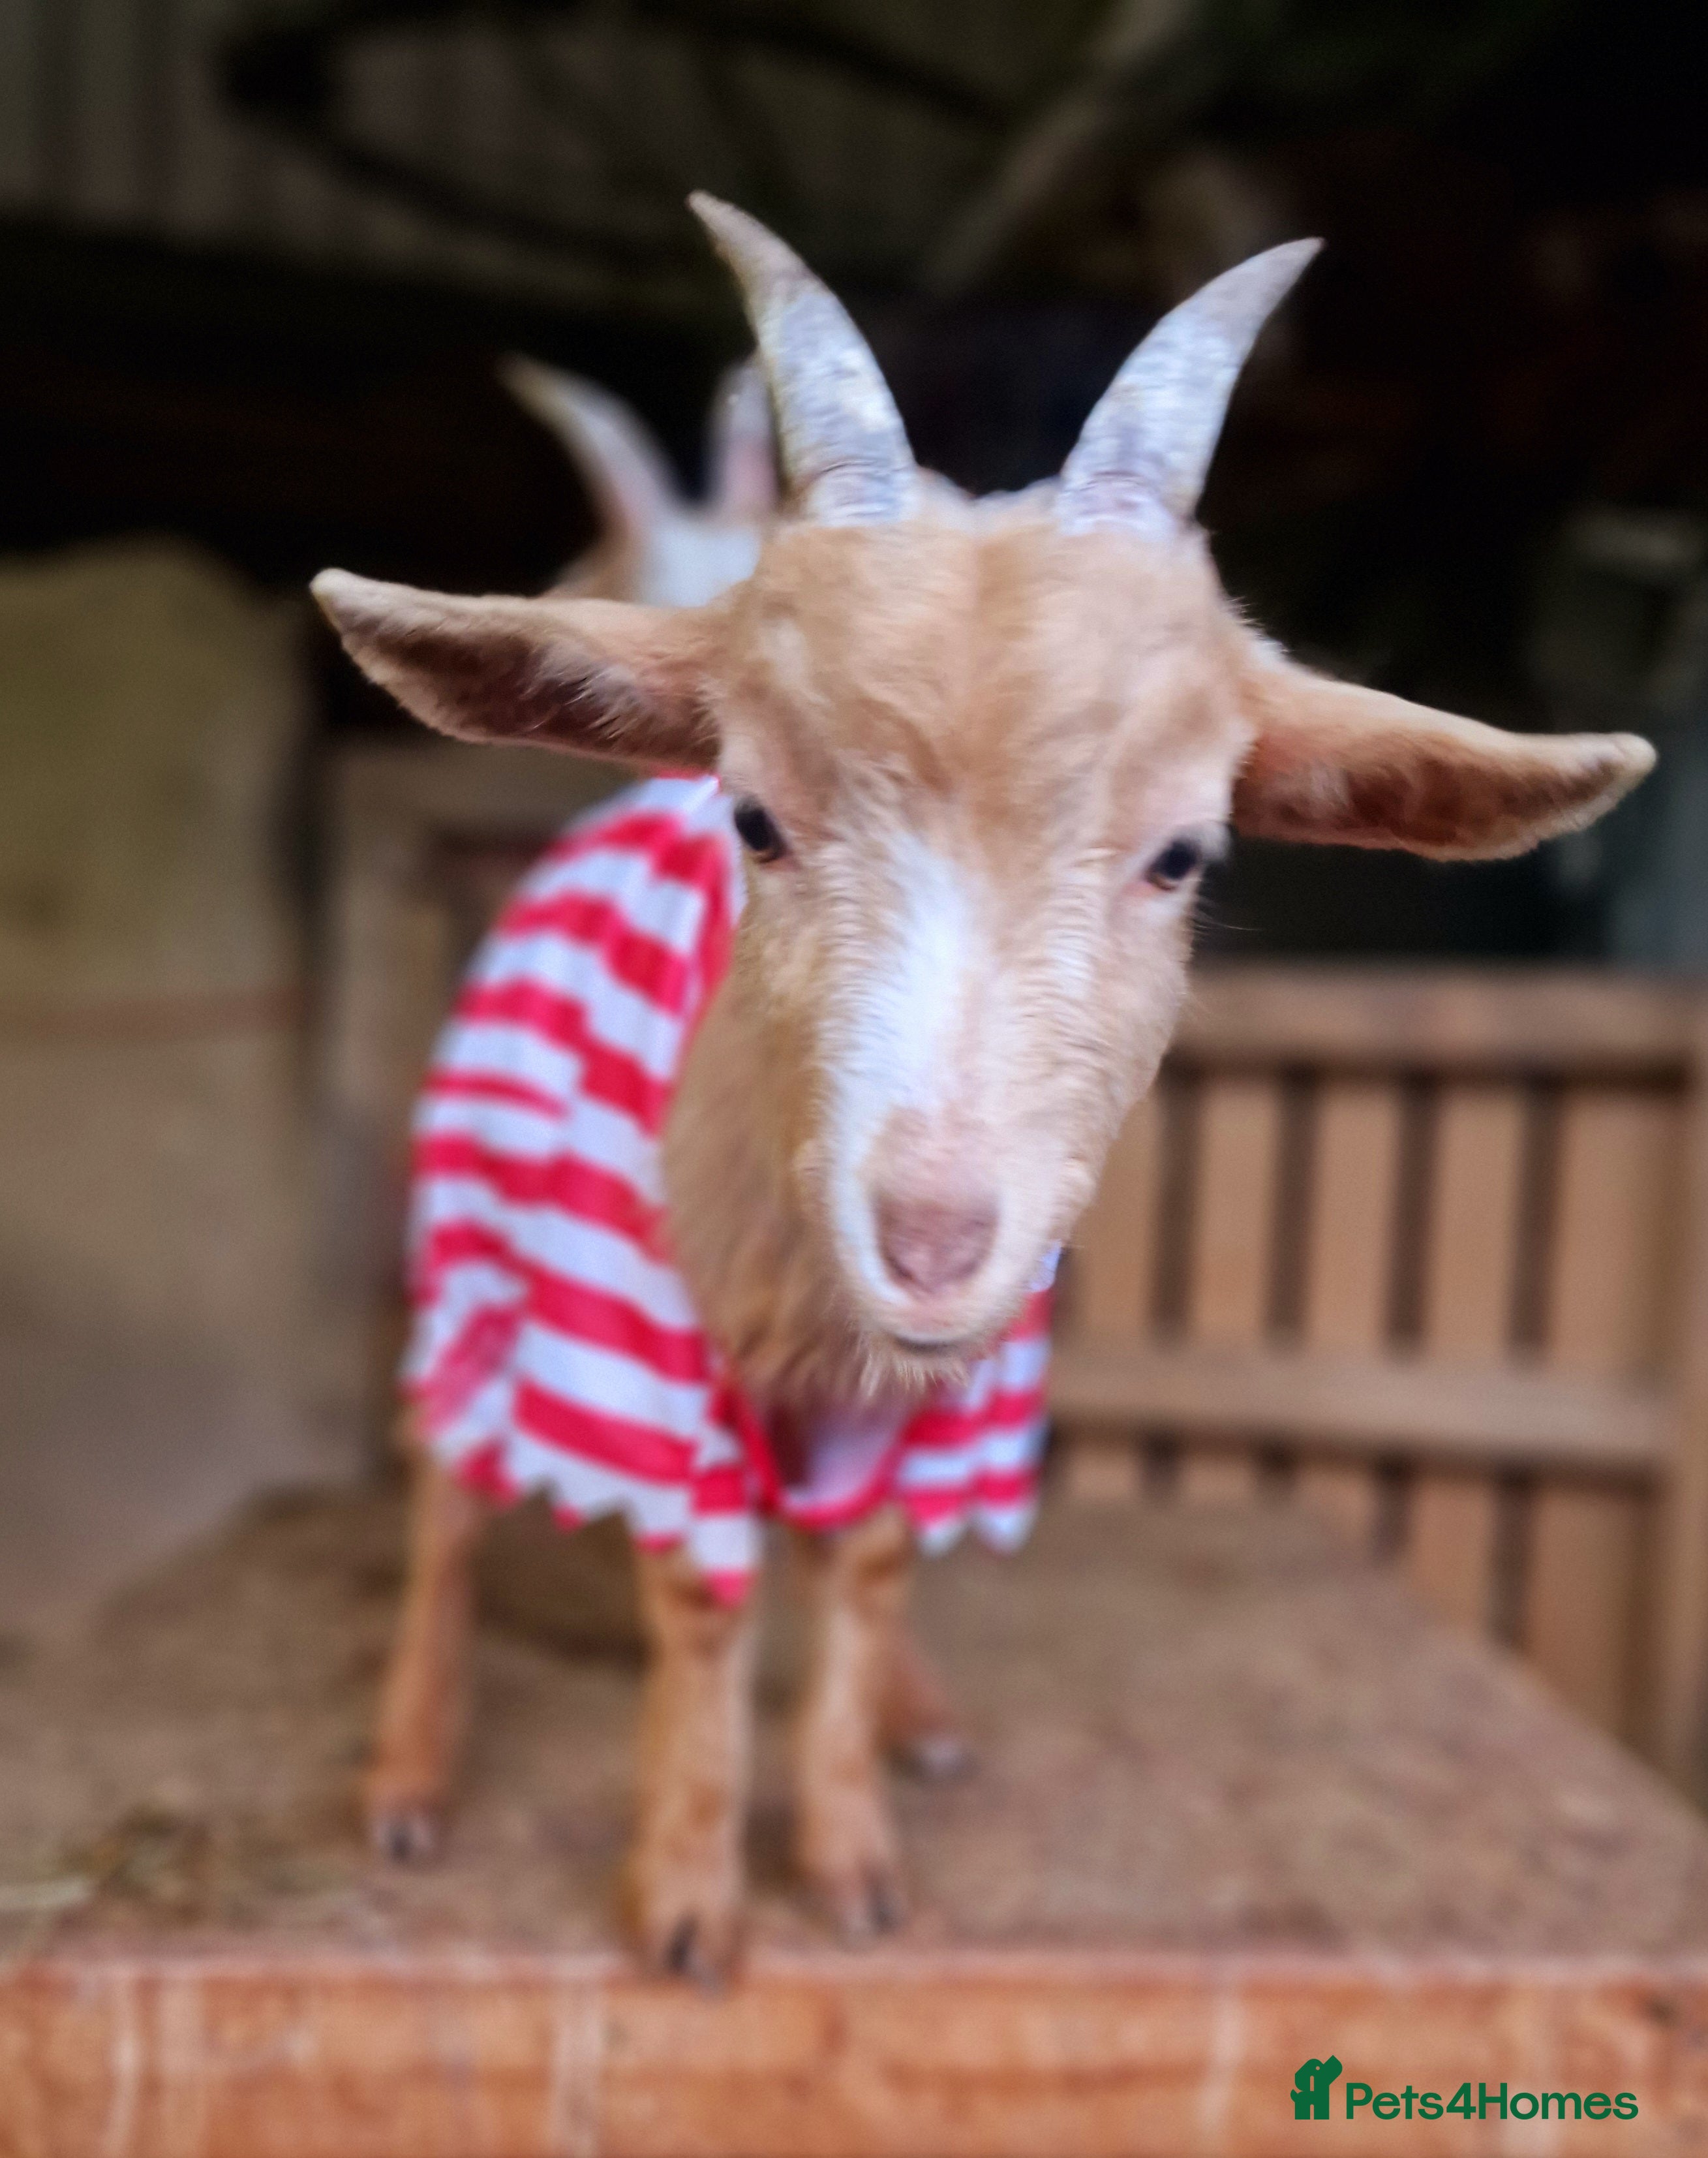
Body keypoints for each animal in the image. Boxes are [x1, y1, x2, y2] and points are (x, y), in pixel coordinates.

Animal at [315, 198, 1653, 1981]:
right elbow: (702, 1603)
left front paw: (853, 1852)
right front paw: (688, 1902)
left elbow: (872, 1563)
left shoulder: (951, 1399)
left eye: (1184, 851)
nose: (934, 1241)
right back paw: (407, 1775)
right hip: (473, 1233)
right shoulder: (648, 1360)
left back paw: (910, 1712)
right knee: (449, 1488)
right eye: (754, 815)